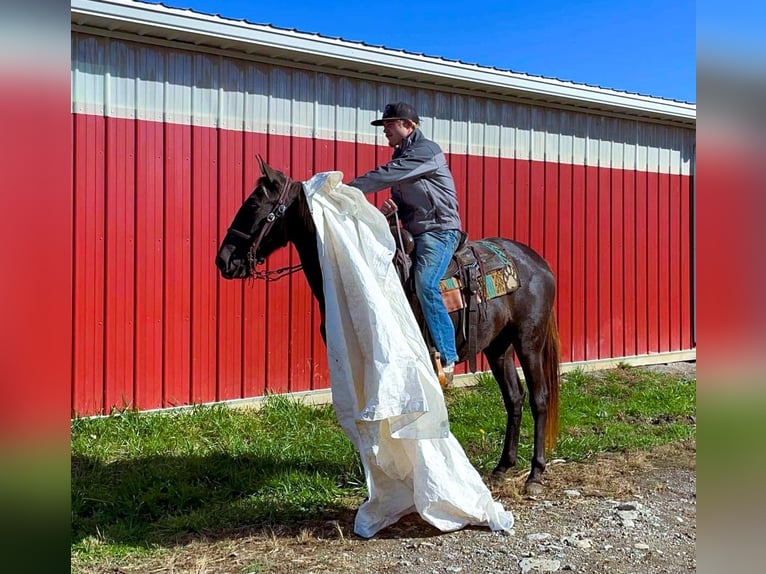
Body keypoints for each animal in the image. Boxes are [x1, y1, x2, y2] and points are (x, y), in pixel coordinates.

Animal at [218, 158, 564, 496]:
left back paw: (535, 474)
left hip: (528, 341)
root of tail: (538, 262)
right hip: (498, 347)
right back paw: (502, 468)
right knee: (514, 398)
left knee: (539, 398)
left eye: (254, 204)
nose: (223, 260)